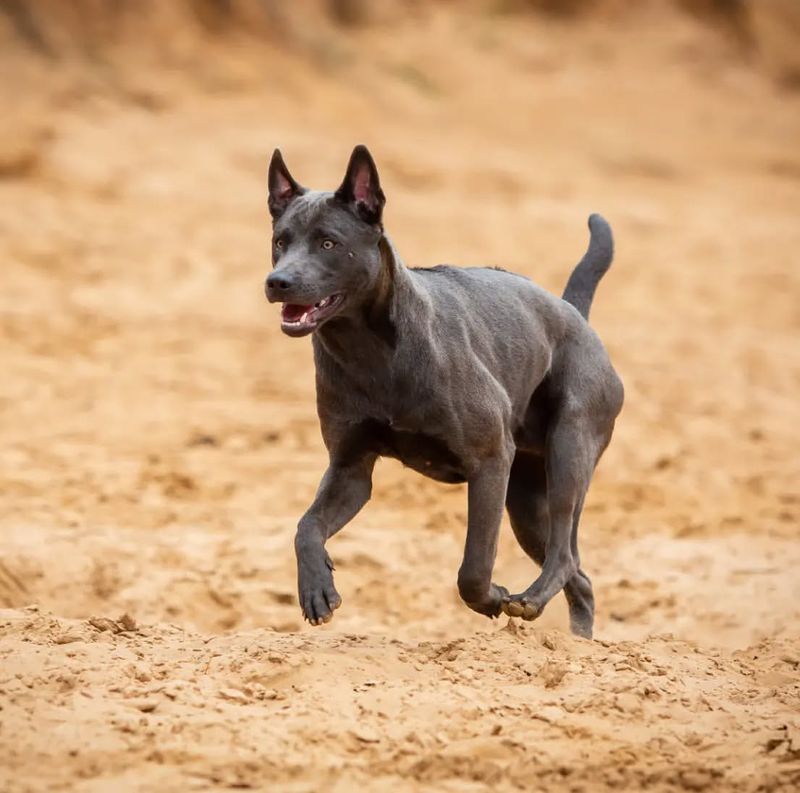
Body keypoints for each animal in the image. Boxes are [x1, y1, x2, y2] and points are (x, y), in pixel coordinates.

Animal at [266, 144, 620, 636]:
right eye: (280, 241)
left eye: (328, 243)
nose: (278, 282)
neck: (370, 351)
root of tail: (574, 314)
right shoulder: (350, 470)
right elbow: (306, 527)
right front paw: (317, 588)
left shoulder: (490, 461)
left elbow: (473, 568)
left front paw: (495, 598)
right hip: (527, 503)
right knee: (579, 576)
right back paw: (580, 643)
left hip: (570, 452)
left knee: (565, 554)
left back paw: (529, 601)